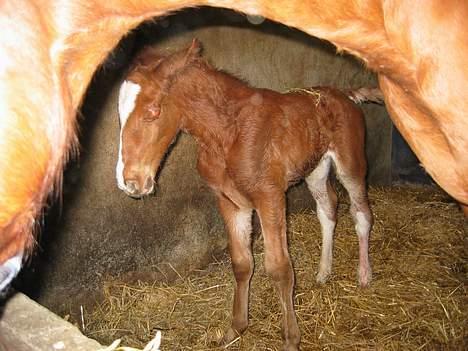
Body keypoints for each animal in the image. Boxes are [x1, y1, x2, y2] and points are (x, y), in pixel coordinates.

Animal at [118, 40, 380, 350]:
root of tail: (344, 94)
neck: (227, 134)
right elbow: (242, 263)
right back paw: (323, 272)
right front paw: (236, 328)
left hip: (351, 163)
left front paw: (291, 339)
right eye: (119, 116)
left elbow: (280, 268)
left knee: (361, 213)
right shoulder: (230, 202)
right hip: (315, 168)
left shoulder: (270, 197)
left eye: (153, 111)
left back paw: (364, 275)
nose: (129, 182)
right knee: (328, 208)